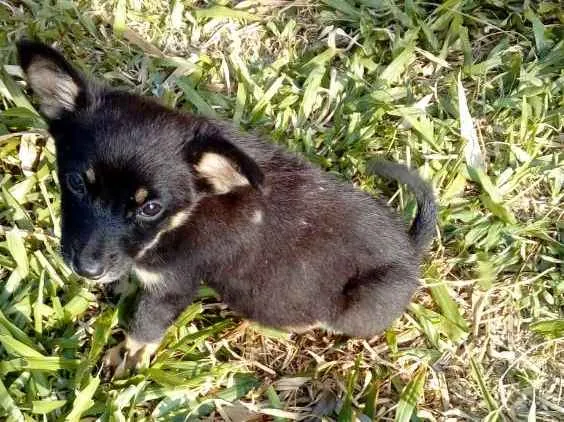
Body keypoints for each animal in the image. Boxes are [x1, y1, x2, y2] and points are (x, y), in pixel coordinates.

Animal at [13, 39, 436, 370]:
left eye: (150, 208)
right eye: (75, 183)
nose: (86, 269)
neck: (187, 215)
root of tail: (411, 249)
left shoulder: (172, 285)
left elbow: (144, 326)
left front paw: (129, 359)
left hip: (358, 307)